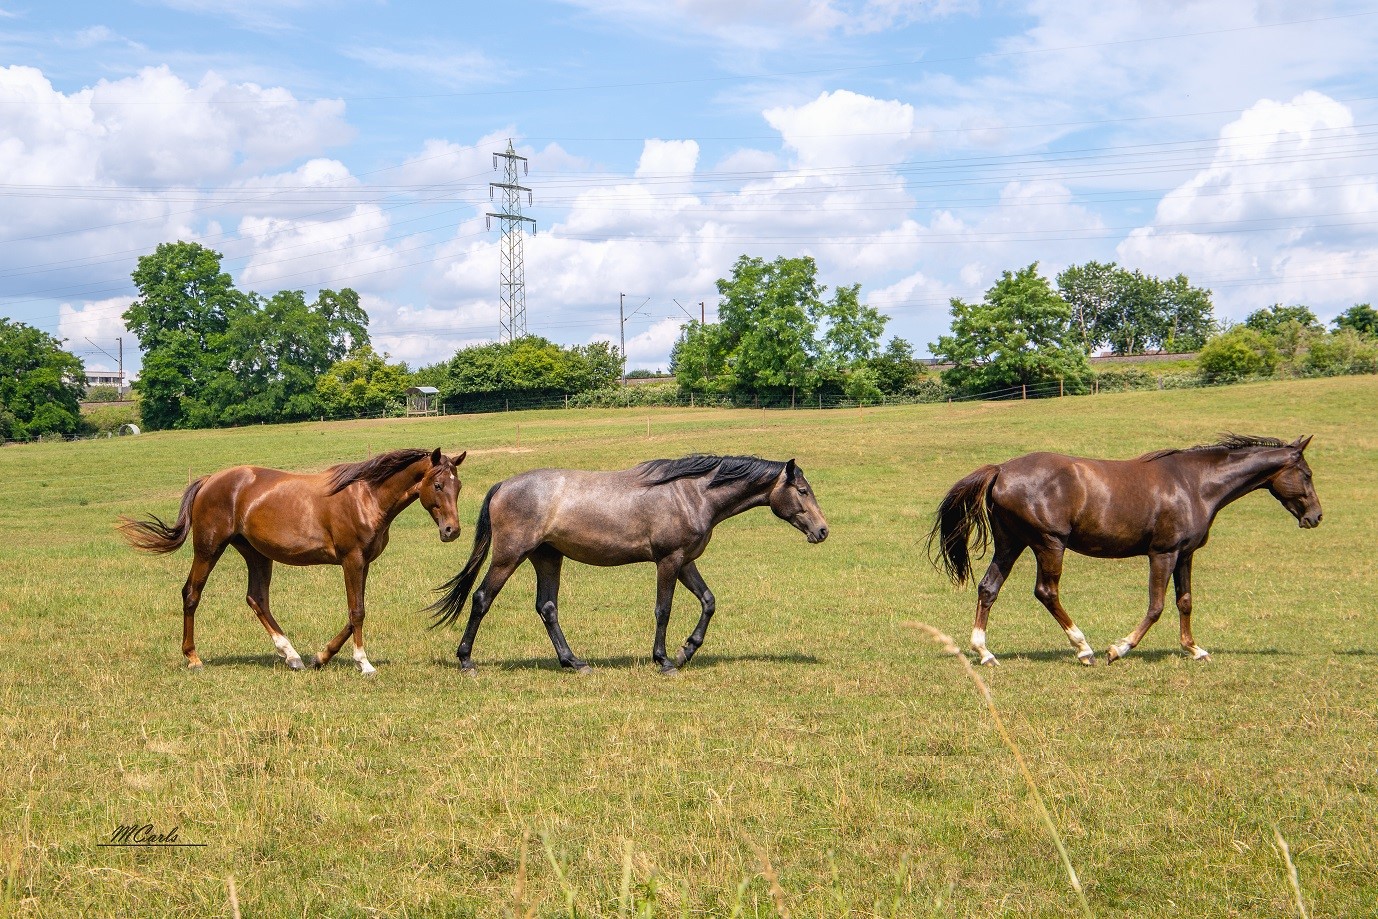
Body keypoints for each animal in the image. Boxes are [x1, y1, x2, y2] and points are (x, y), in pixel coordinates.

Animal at [119, 446, 463, 672]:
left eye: (458, 486)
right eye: (437, 484)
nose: (452, 530)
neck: (366, 496)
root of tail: (209, 480)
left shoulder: (363, 562)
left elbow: (355, 612)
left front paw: (321, 657)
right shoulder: (351, 560)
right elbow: (357, 612)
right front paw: (363, 663)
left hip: (256, 554)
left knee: (256, 599)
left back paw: (292, 655)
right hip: (209, 548)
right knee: (192, 594)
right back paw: (193, 657)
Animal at [424, 454, 826, 675]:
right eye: (803, 491)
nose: (822, 531)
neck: (691, 494)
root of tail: (504, 485)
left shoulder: (685, 562)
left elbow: (708, 602)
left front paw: (687, 651)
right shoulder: (668, 561)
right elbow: (663, 610)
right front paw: (664, 661)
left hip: (547, 557)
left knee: (547, 608)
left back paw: (574, 662)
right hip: (510, 556)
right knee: (481, 599)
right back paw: (466, 661)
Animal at [931, 435, 1317, 664]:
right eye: (1307, 474)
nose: (1315, 516)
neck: (1194, 484)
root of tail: (1000, 470)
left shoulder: (1185, 554)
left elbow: (1185, 602)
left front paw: (1195, 649)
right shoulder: (1163, 553)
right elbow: (1156, 606)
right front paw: (1119, 648)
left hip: (1012, 543)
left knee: (988, 588)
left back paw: (985, 653)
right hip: (1048, 543)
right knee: (1046, 591)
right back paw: (1083, 648)